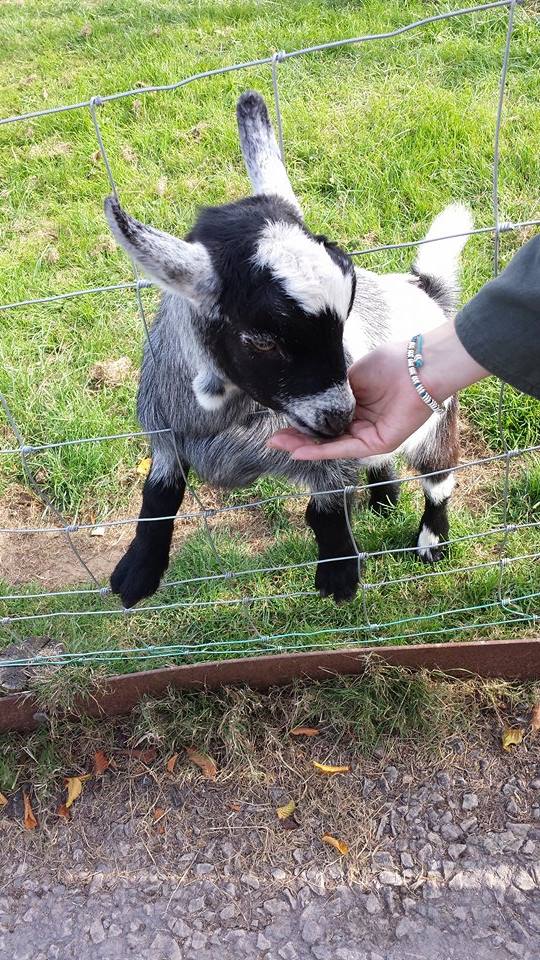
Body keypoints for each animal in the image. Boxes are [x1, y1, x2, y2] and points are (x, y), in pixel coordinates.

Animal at [104, 90, 471, 608]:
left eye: (346, 312)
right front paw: (136, 573)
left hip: (437, 420)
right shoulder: (165, 431)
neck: (224, 421)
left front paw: (338, 573)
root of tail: (426, 290)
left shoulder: (328, 460)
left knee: (439, 479)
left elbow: (326, 507)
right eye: (262, 339)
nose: (341, 418)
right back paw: (383, 501)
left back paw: (431, 541)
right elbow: (157, 495)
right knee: (383, 461)